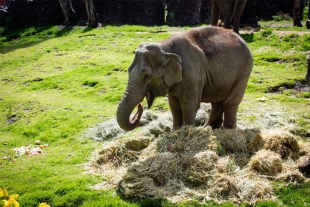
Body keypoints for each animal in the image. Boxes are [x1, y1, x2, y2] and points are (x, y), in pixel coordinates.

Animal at [116, 25, 252, 131]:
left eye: (147, 76)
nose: (140, 106)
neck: (165, 46)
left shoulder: (192, 73)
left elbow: (189, 105)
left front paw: (187, 131)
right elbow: (174, 106)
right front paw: (176, 131)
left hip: (243, 72)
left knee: (230, 102)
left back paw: (227, 130)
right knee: (217, 101)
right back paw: (209, 128)